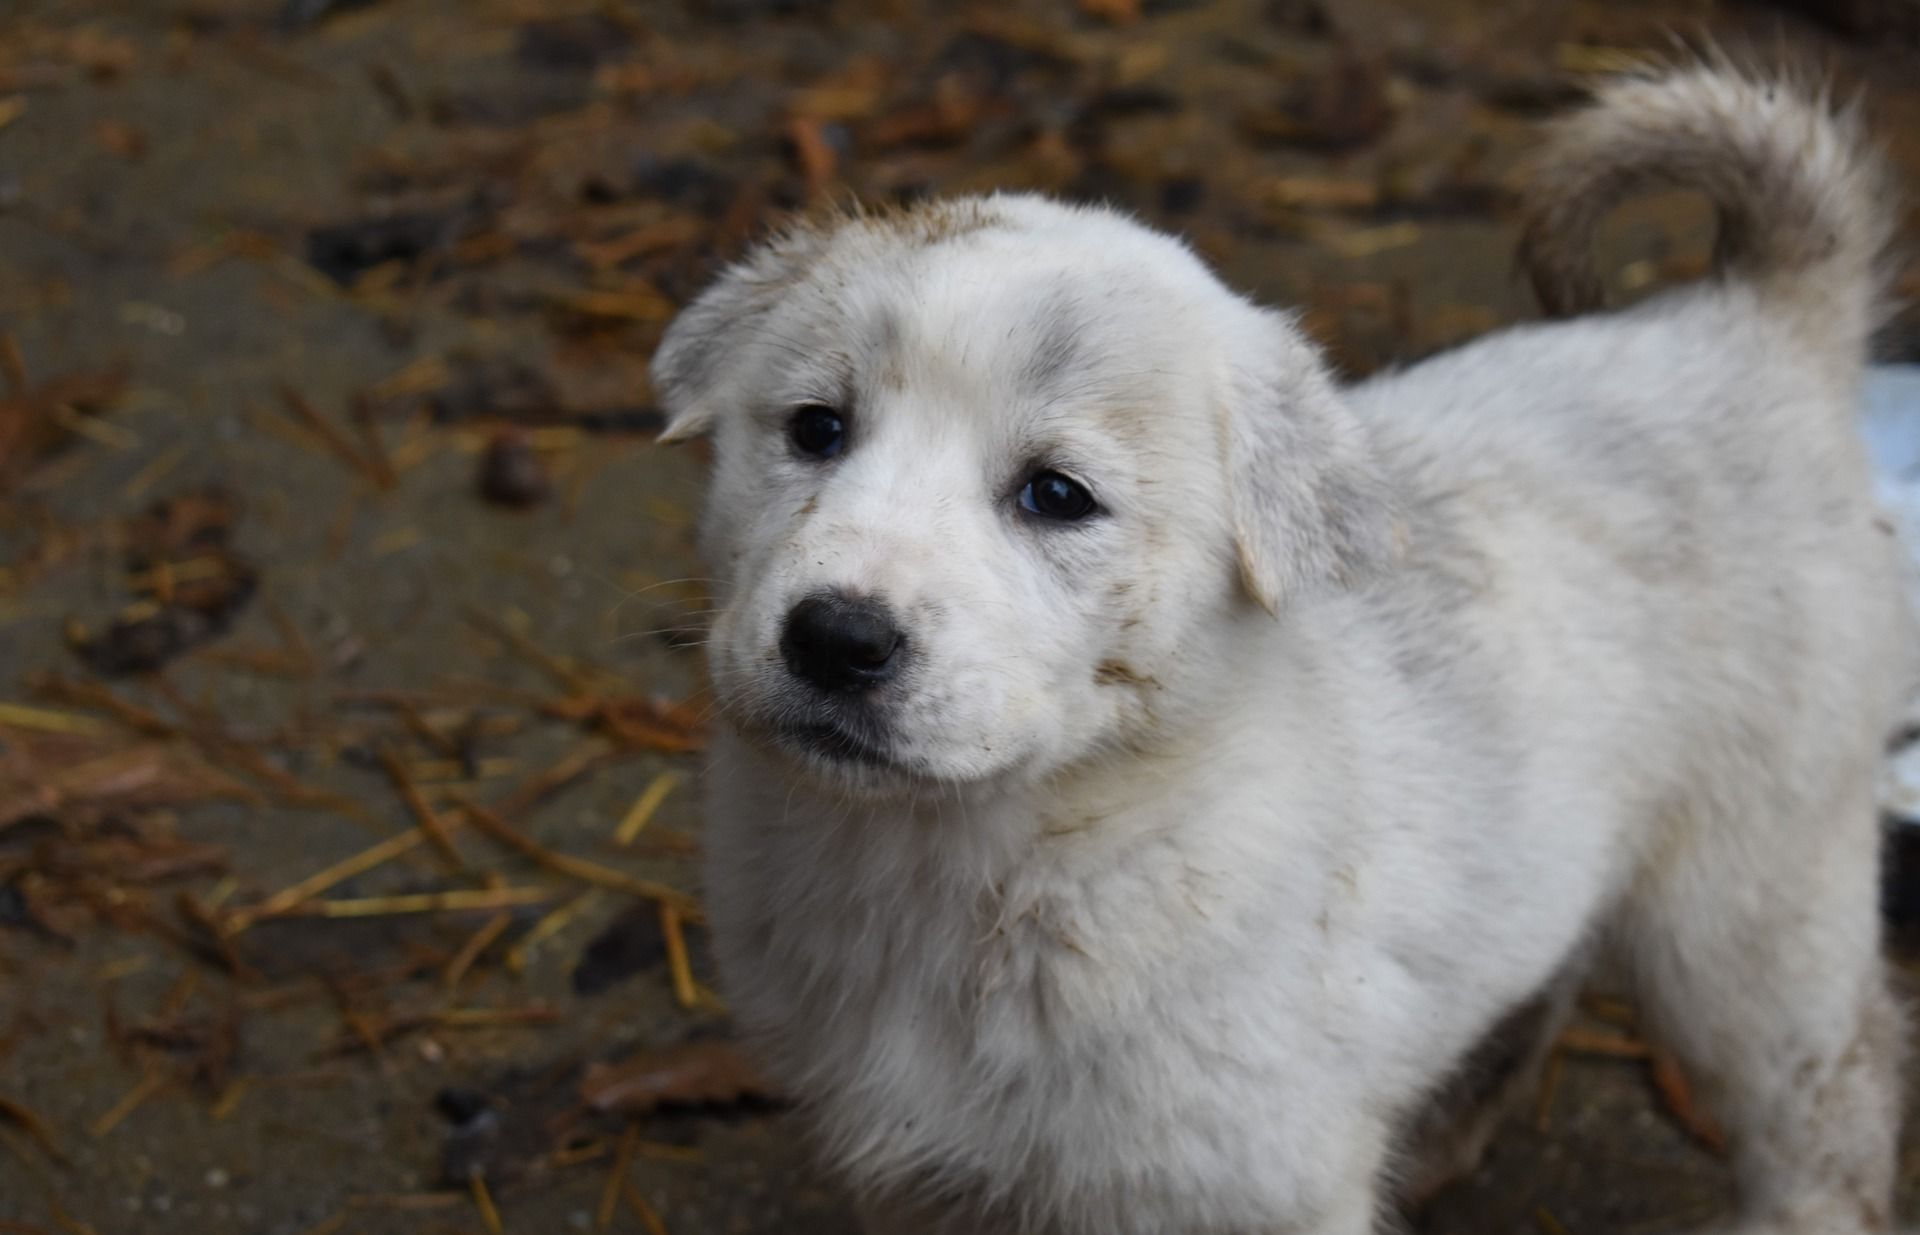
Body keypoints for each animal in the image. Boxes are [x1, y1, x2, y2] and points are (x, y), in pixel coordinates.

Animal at [652, 65, 1912, 1235]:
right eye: (816, 428)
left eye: (1056, 495)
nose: (835, 635)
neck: (972, 863)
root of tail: (1753, 322)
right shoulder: (929, 1183)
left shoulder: (1243, 1179)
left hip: (1750, 894)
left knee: (1836, 1081)